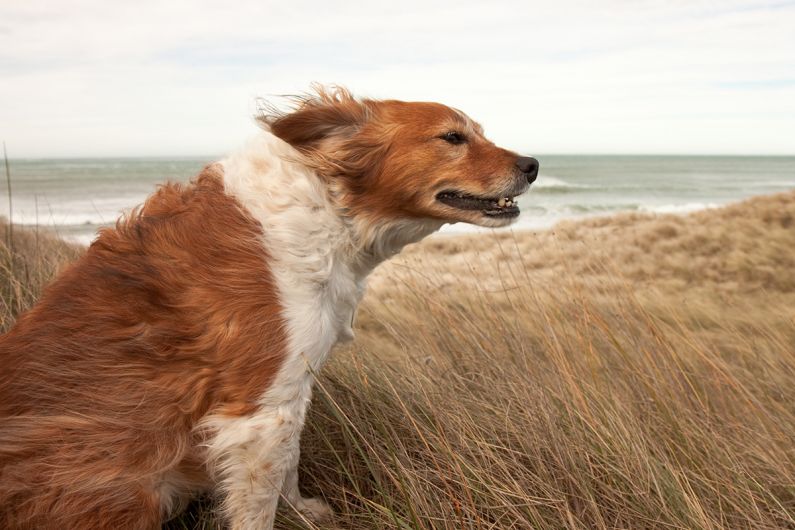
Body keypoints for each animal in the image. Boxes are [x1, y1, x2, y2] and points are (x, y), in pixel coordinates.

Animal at [0, 84, 536, 524]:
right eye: (452, 137)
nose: (532, 165)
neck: (330, 211)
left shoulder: (290, 391)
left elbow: (289, 463)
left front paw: (299, 510)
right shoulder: (256, 410)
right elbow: (260, 498)